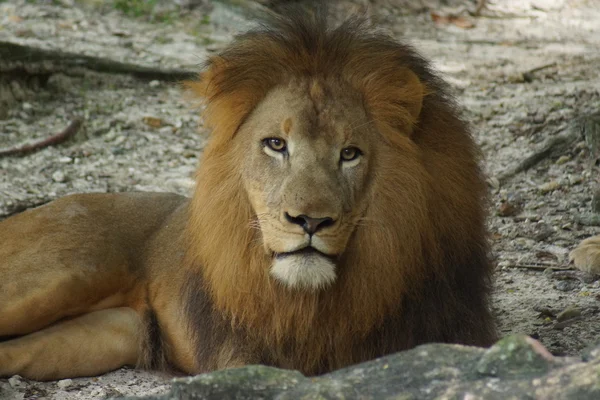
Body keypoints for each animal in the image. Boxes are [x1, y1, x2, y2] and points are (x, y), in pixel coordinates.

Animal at [0, 10, 496, 382]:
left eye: (350, 154)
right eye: (276, 144)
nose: (310, 221)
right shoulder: (241, 358)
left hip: (106, 333)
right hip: (53, 277)